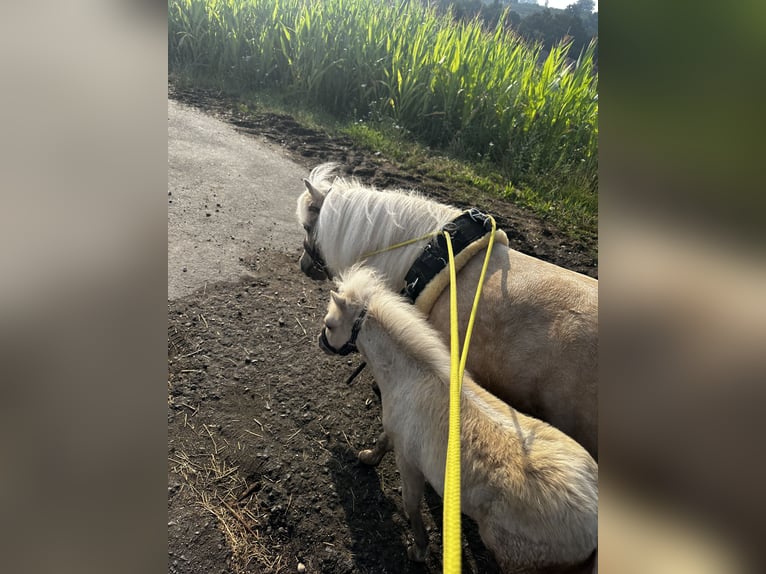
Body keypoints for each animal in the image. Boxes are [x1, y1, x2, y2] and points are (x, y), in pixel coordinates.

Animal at [320, 268, 600, 572]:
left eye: (330, 324)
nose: (322, 343)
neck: (413, 376)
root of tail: (593, 515)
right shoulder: (396, 432)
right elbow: (383, 440)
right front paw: (369, 457)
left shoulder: (408, 463)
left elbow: (411, 504)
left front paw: (418, 550)